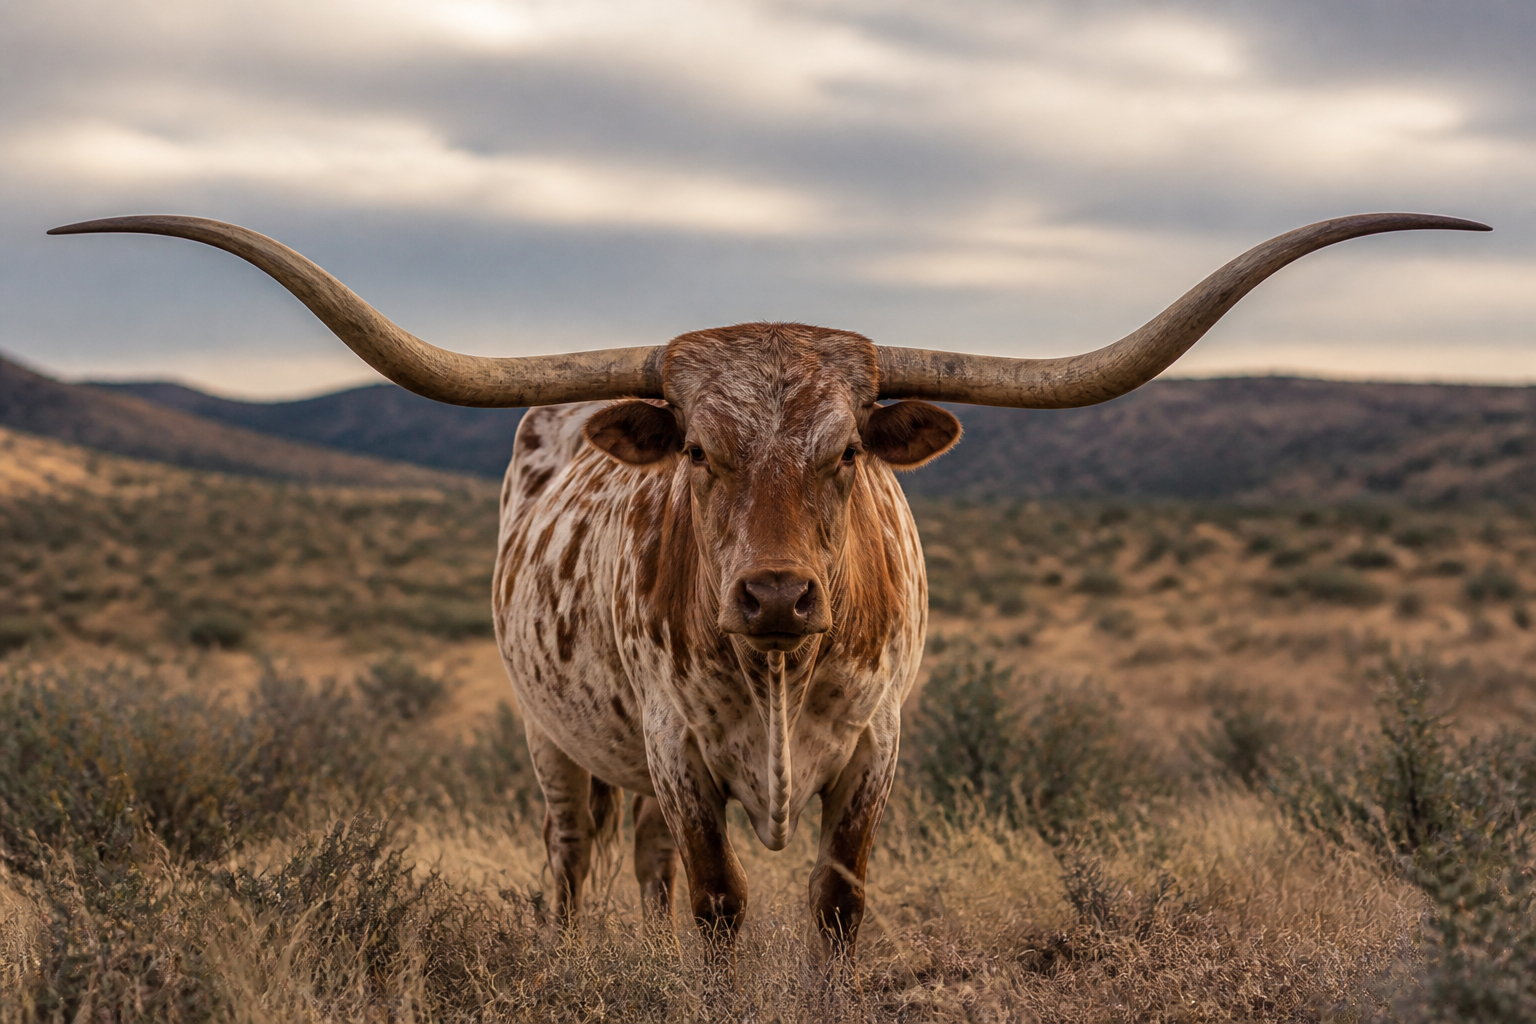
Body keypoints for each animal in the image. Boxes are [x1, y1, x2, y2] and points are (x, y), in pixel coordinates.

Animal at [52, 211, 1487, 961]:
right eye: (700, 447)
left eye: (847, 449)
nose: (779, 598)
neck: (787, 675)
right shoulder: (686, 758)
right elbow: (724, 911)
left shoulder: (876, 754)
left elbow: (836, 911)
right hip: (553, 737)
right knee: (574, 856)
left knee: (633, 861)